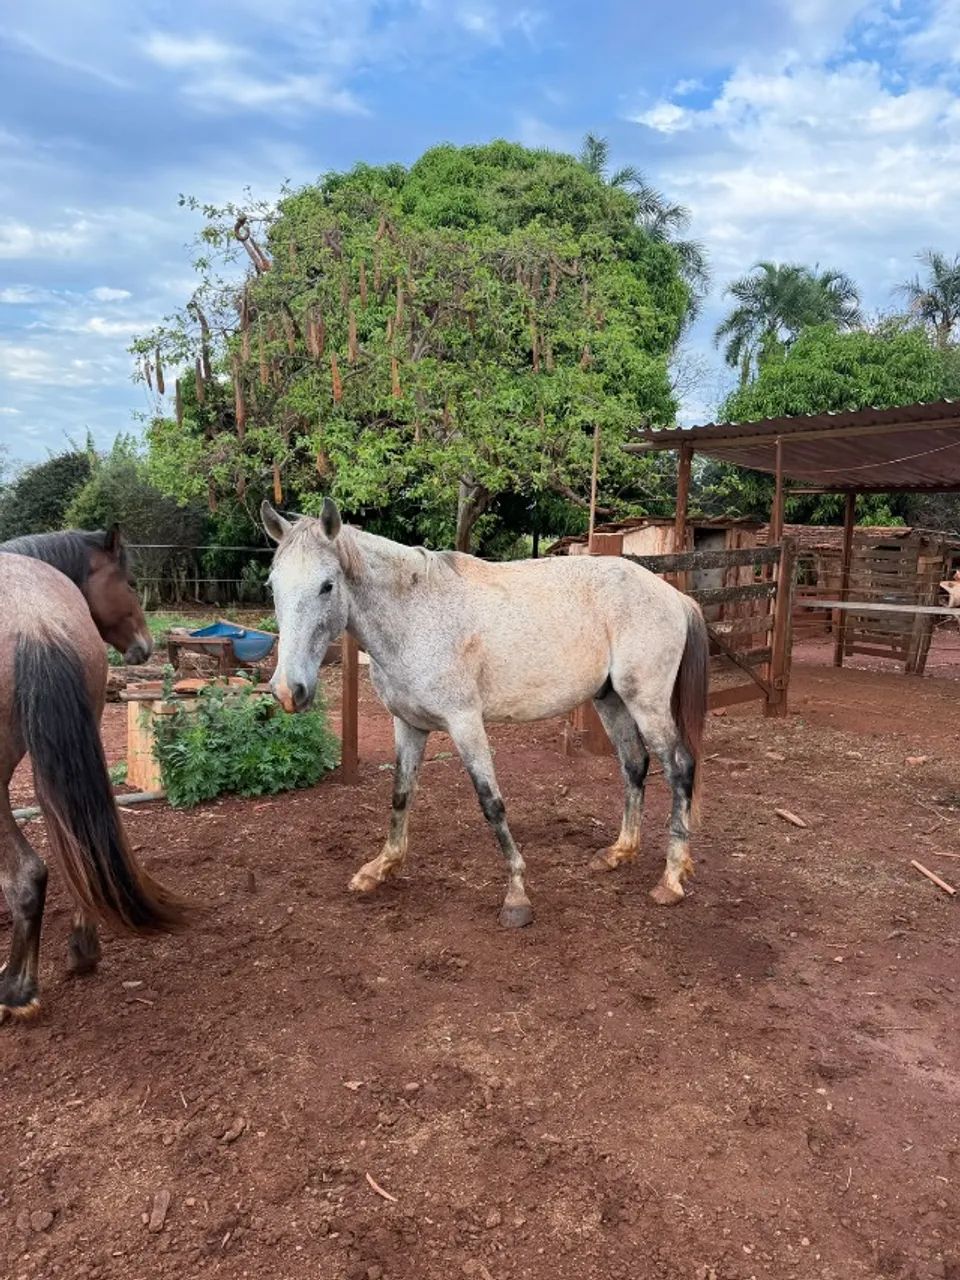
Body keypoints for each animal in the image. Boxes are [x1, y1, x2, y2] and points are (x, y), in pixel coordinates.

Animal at [0, 527, 187, 1022]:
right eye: (131, 582)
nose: (145, 645)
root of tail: (35, 619)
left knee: (27, 874)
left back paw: (16, 990)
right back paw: (83, 950)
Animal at [261, 498, 709, 928]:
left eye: (327, 585)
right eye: (272, 585)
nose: (288, 690)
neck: (416, 616)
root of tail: (674, 595)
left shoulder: (465, 722)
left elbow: (491, 802)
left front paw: (516, 895)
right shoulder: (408, 725)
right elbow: (401, 794)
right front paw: (380, 867)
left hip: (646, 703)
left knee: (679, 767)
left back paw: (671, 878)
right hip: (611, 700)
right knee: (634, 764)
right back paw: (619, 852)